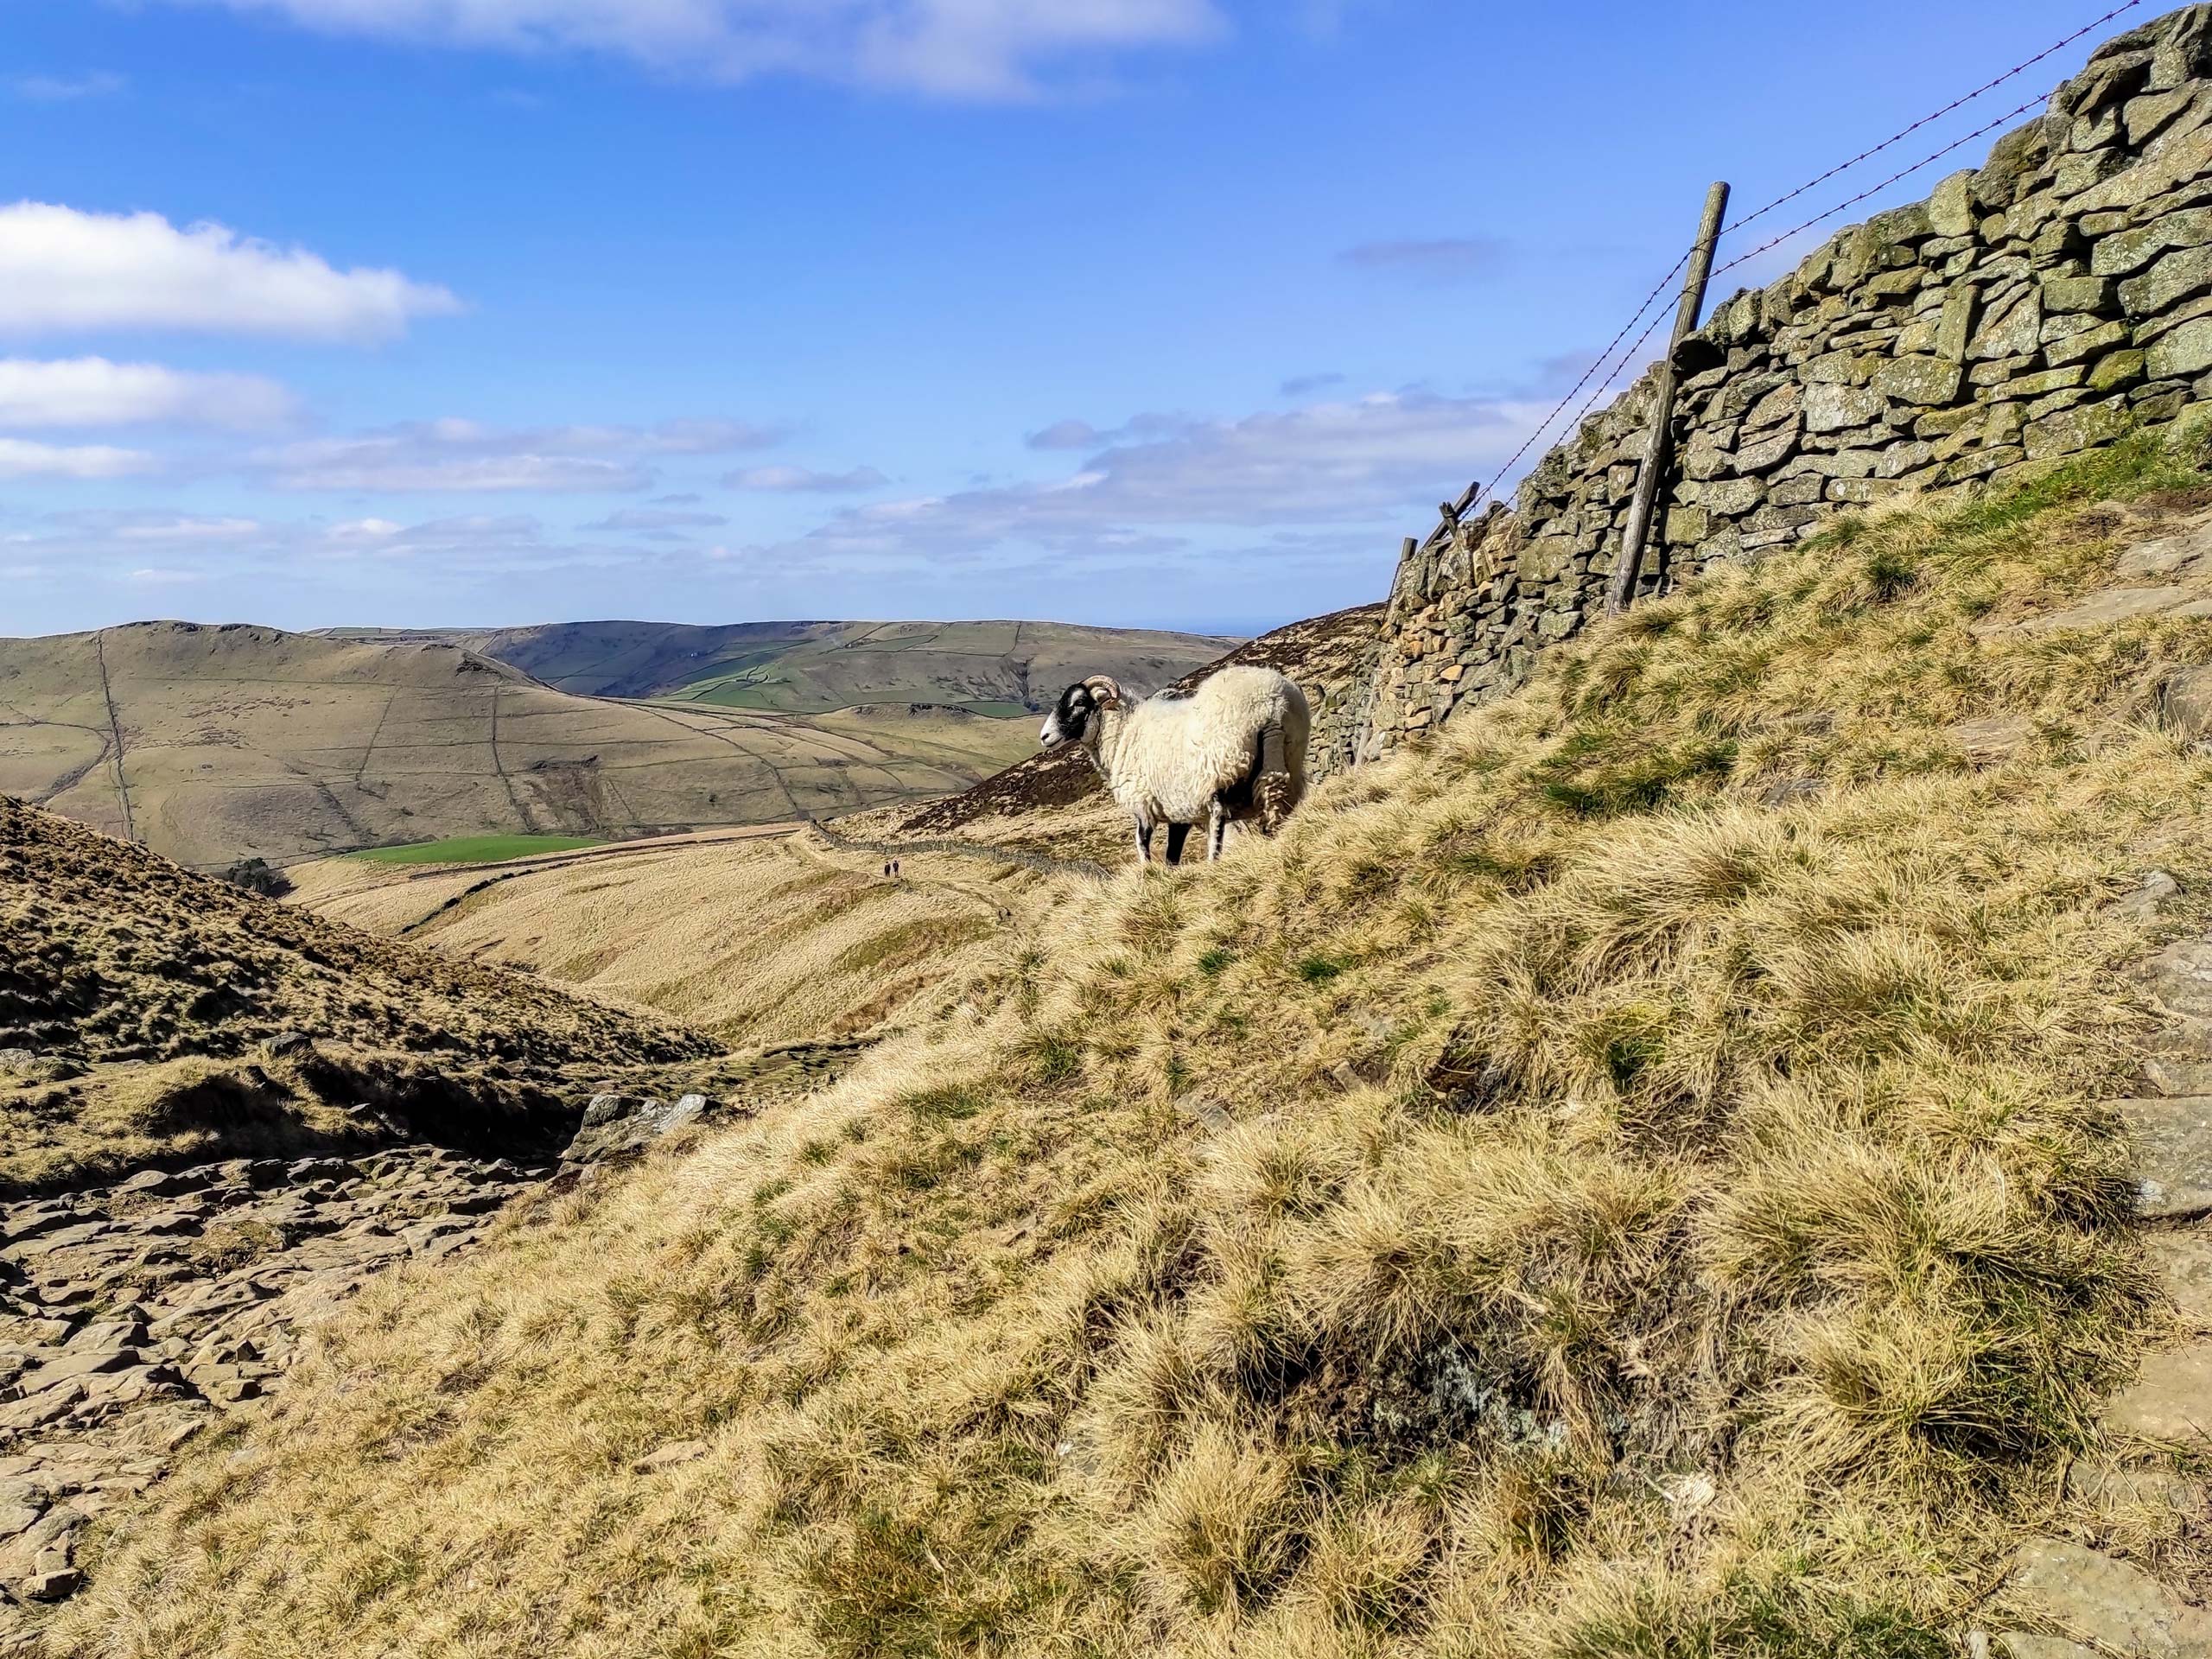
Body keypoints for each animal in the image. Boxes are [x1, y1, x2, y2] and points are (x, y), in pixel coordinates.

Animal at [1039, 668, 1309, 871]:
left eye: (1079, 702)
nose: (1044, 737)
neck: (1123, 732)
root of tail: (1271, 704)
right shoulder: (1178, 810)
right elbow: (1172, 854)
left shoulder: (1143, 802)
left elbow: (1142, 842)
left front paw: (1147, 872)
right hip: (1286, 762)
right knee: (1278, 805)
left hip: (1221, 768)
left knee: (1219, 818)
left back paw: (1213, 861)